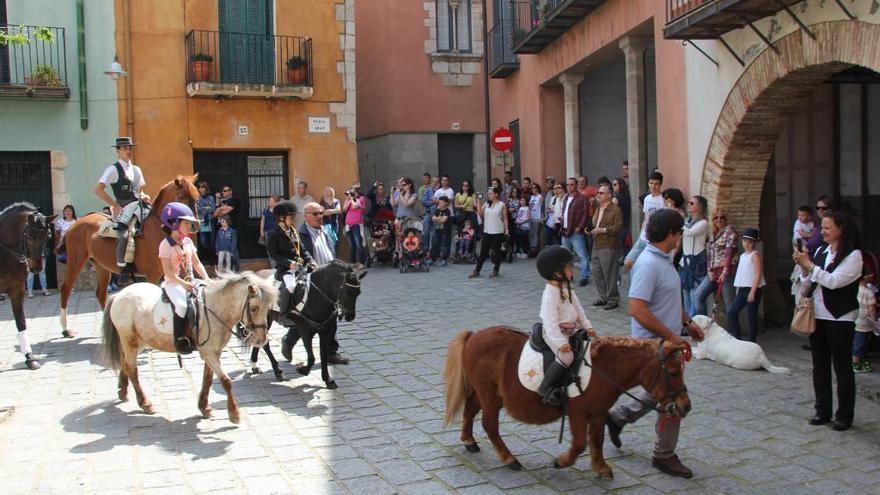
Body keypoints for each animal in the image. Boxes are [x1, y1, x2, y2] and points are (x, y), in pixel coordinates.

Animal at [0, 203, 56, 370]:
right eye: (30, 237)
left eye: (48, 235)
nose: (36, 268)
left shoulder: (17, 290)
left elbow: (21, 322)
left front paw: (29, 358)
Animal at [59, 174, 200, 338]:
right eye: (182, 195)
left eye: (196, 196)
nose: (195, 224)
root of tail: (75, 225)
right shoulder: (153, 275)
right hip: (76, 261)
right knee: (66, 289)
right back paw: (66, 329)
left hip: (101, 267)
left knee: (100, 293)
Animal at [249, 262, 366, 390]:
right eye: (348, 292)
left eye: (358, 293)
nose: (350, 316)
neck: (316, 296)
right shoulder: (305, 330)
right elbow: (312, 357)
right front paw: (304, 370)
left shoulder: (324, 331)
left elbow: (322, 355)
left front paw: (328, 379)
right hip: (263, 318)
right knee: (264, 343)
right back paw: (277, 371)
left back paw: (255, 365)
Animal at [444, 330, 692, 480]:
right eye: (673, 372)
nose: (685, 406)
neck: (603, 369)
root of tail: (473, 336)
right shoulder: (577, 412)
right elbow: (581, 442)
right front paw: (562, 461)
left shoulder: (599, 412)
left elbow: (597, 440)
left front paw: (601, 467)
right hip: (489, 396)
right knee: (489, 425)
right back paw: (509, 459)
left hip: (486, 393)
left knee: (470, 409)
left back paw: (469, 441)